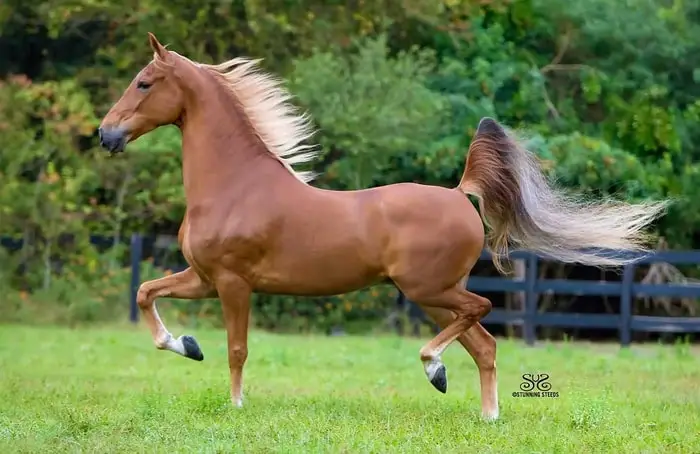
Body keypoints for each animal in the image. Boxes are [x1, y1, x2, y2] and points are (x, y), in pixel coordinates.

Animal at [97, 32, 668, 422]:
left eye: (144, 83)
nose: (106, 135)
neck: (234, 185)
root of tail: (461, 192)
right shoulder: (203, 278)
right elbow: (147, 294)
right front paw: (186, 344)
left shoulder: (234, 283)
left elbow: (237, 349)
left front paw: (235, 406)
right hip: (435, 295)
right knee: (484, 344)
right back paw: (484, 413)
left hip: (428, 289)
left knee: (480, 313)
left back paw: (434, 367)